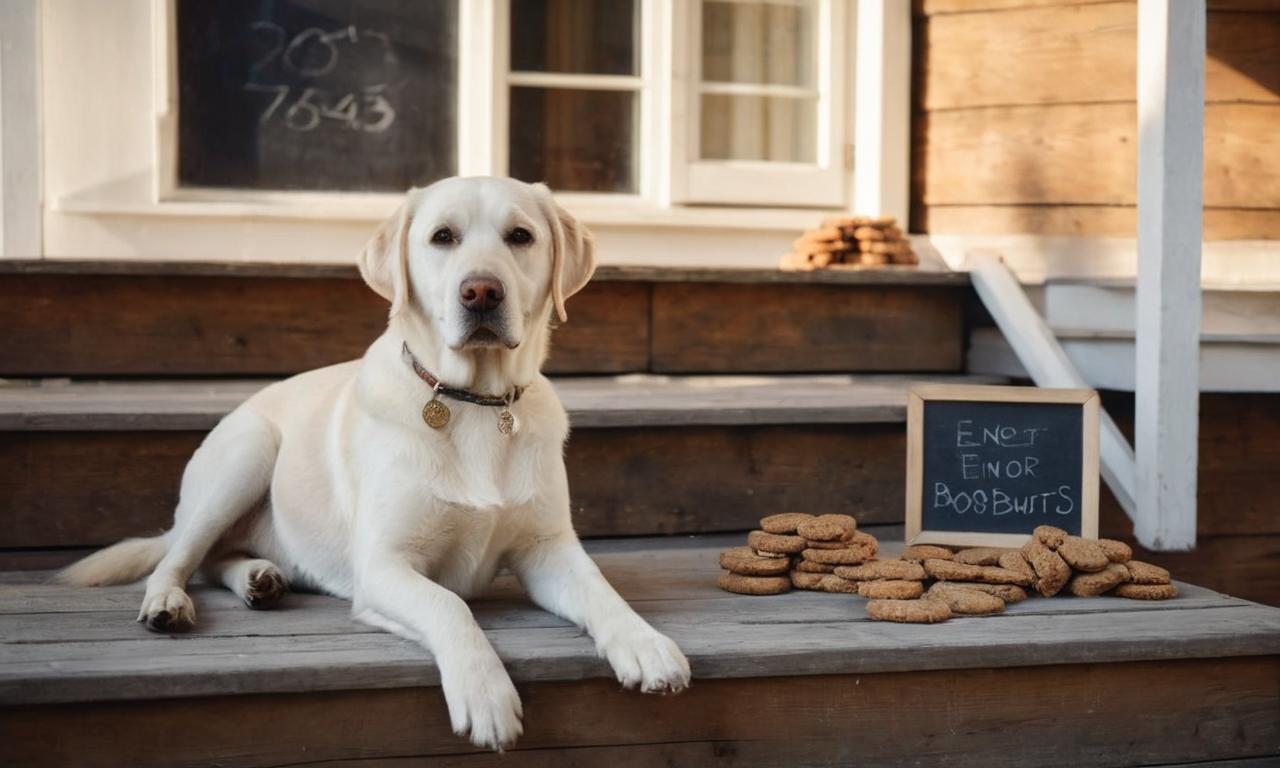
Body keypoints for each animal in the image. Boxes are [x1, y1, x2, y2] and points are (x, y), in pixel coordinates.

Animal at [62, 175, 691, 747]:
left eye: (520, 236)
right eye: (442, 237)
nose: (481, 292)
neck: (473, 401)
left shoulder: (548, 550)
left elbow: (602, 591)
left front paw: (644, 643)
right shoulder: (384, 566)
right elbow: (448, 606)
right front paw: (485, 693)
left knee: (217, 559)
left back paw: (259, 578)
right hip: (247, 453)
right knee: (179, 557)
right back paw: (169, 601)